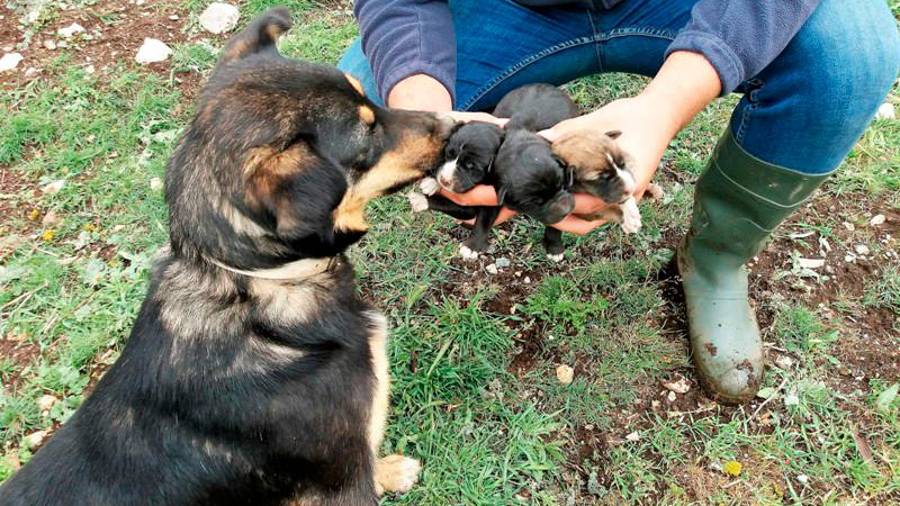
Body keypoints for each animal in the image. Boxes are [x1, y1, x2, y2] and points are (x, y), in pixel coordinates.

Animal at [0, 7, 458, 506]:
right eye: (368, 134)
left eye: (369, 99)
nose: (453, 126)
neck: (258, 286)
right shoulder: (340, 475)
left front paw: (389, 469)